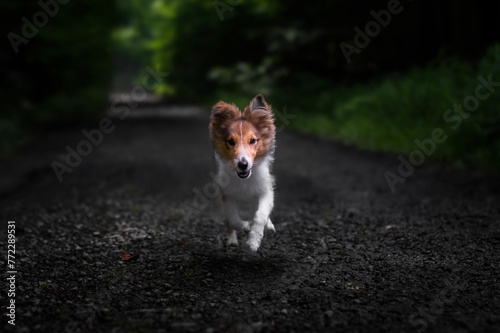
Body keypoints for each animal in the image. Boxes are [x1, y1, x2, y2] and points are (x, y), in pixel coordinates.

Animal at [208, 94, 276, 250]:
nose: (243, 165)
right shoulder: (226, 194)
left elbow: (261, 214)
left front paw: (253, 241)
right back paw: (232, 240)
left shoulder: (266, 189)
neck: (244, 180)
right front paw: (245, 226)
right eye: (231, 141)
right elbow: (232, 219)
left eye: (252, 140)